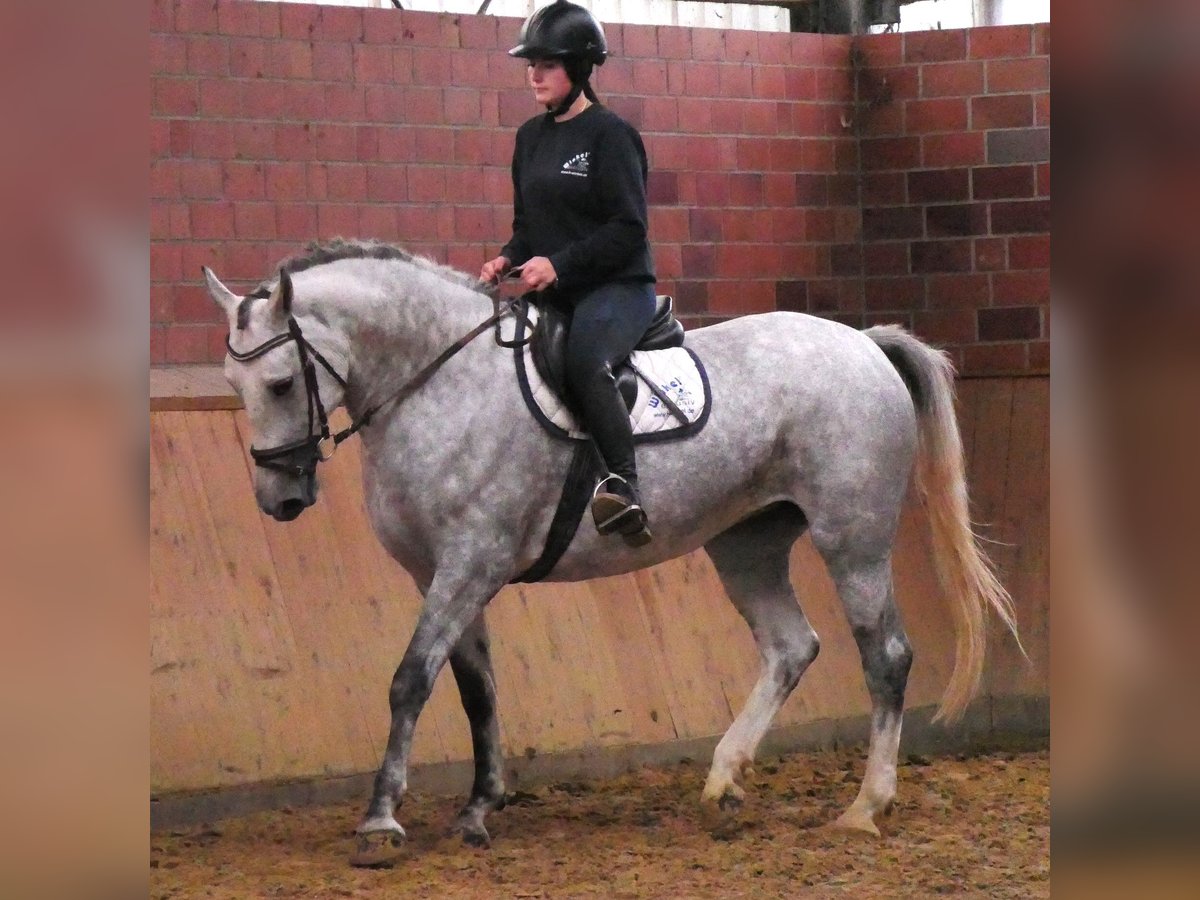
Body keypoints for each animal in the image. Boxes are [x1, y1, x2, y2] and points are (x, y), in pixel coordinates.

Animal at [202, 238, 1019, 864]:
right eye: (234, 383)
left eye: (282, 382)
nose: (280, 500)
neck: (438, 382)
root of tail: (863, 341)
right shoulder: (444, 573)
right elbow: (475, 690)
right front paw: (478, 809)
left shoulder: (470, 562)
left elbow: (410, 681)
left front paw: (380, 820)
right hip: (745, 545)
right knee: (792, 646)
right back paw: (723, 781)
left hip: (852, 538)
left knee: (885, 655)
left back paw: (864, 806)